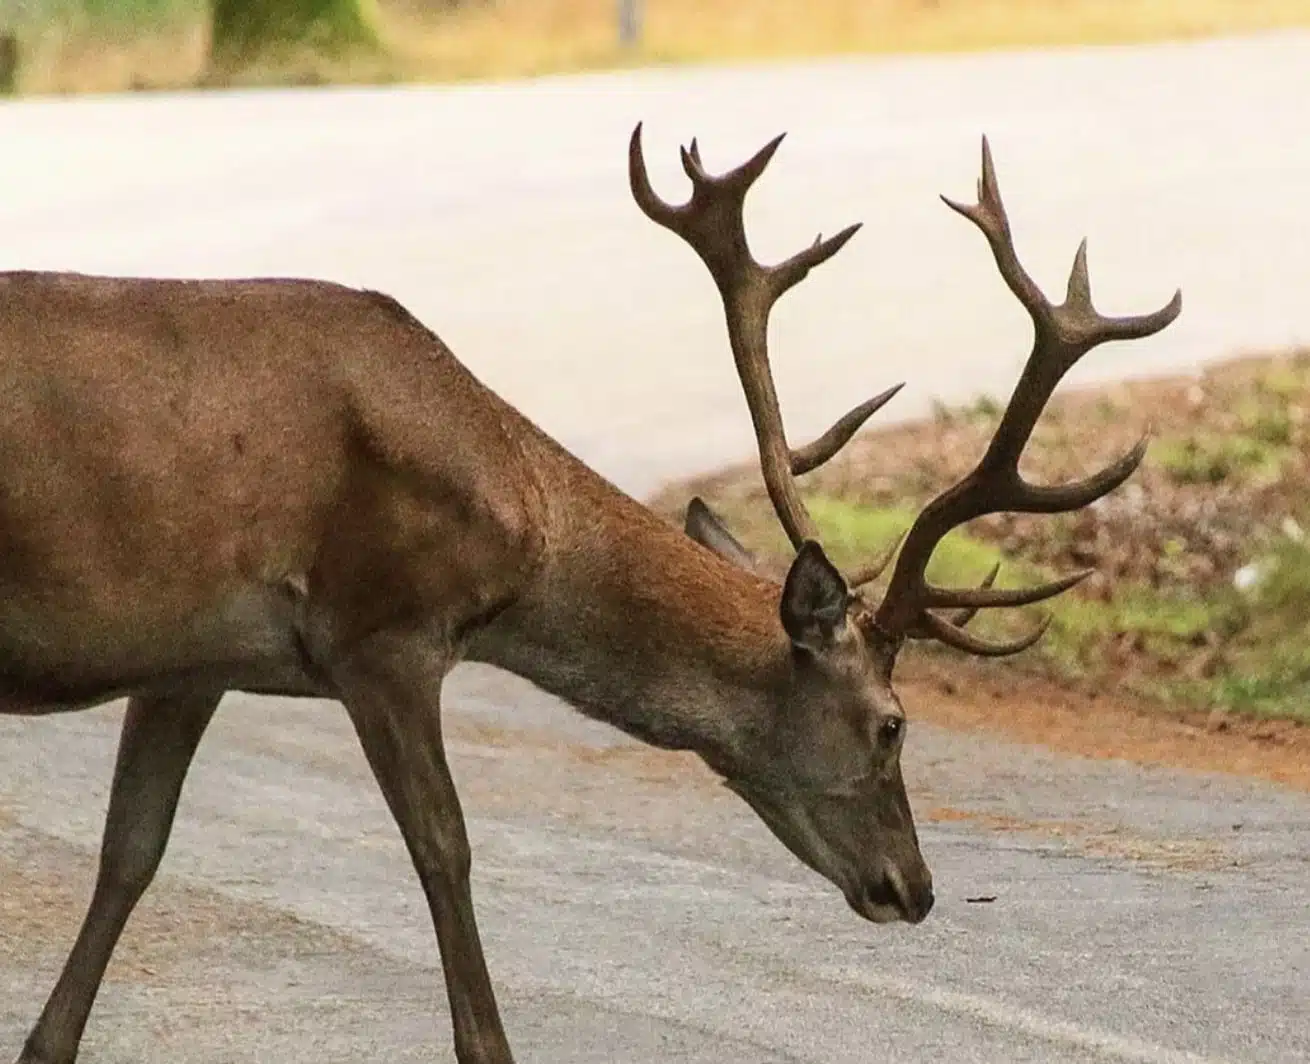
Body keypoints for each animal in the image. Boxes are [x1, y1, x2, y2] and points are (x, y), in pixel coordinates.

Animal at [2, 122, 1179, 1064]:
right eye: (892, 723)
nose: (915, 888)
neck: (513, 513)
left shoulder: (192, 659)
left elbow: (131, 852)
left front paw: (46, 1041)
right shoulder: (380, 630)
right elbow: (446, 847)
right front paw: (490, 1043)